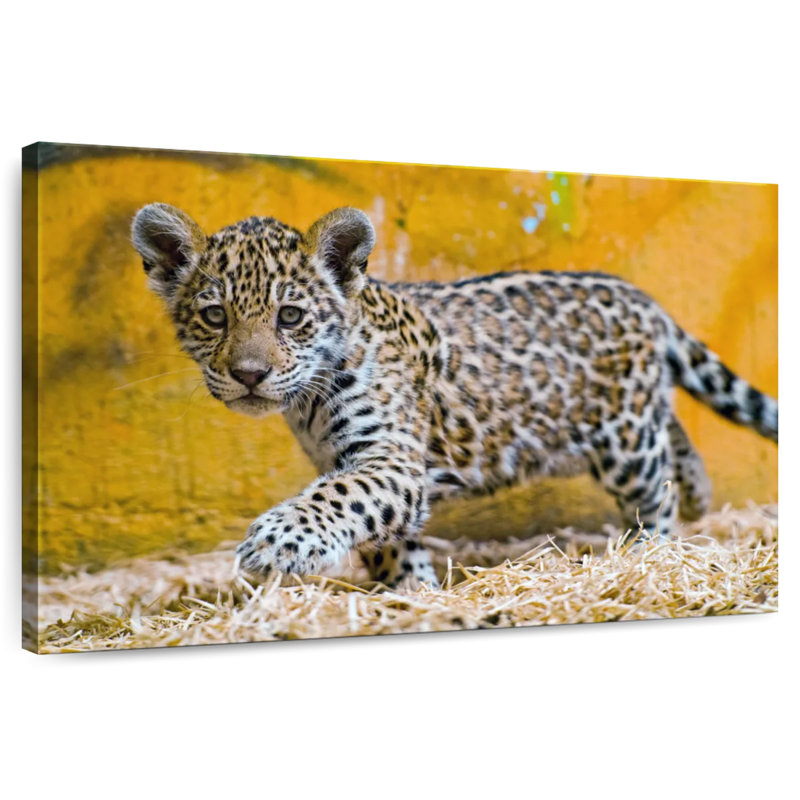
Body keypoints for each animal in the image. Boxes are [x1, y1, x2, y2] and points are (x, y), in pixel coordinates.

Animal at [132, 203, 778, 589]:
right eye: (215, 316)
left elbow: (340, 498)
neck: (308, 402)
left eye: (290, 316)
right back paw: (698, 496)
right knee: (676, 434)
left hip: (626, 443)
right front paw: (410, 593)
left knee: (654, 489)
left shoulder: (388, 457)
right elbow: (384, 532)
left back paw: (657, 554)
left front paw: (275, 544)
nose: (249, 374)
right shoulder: (358, 462)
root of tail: (643, 298)